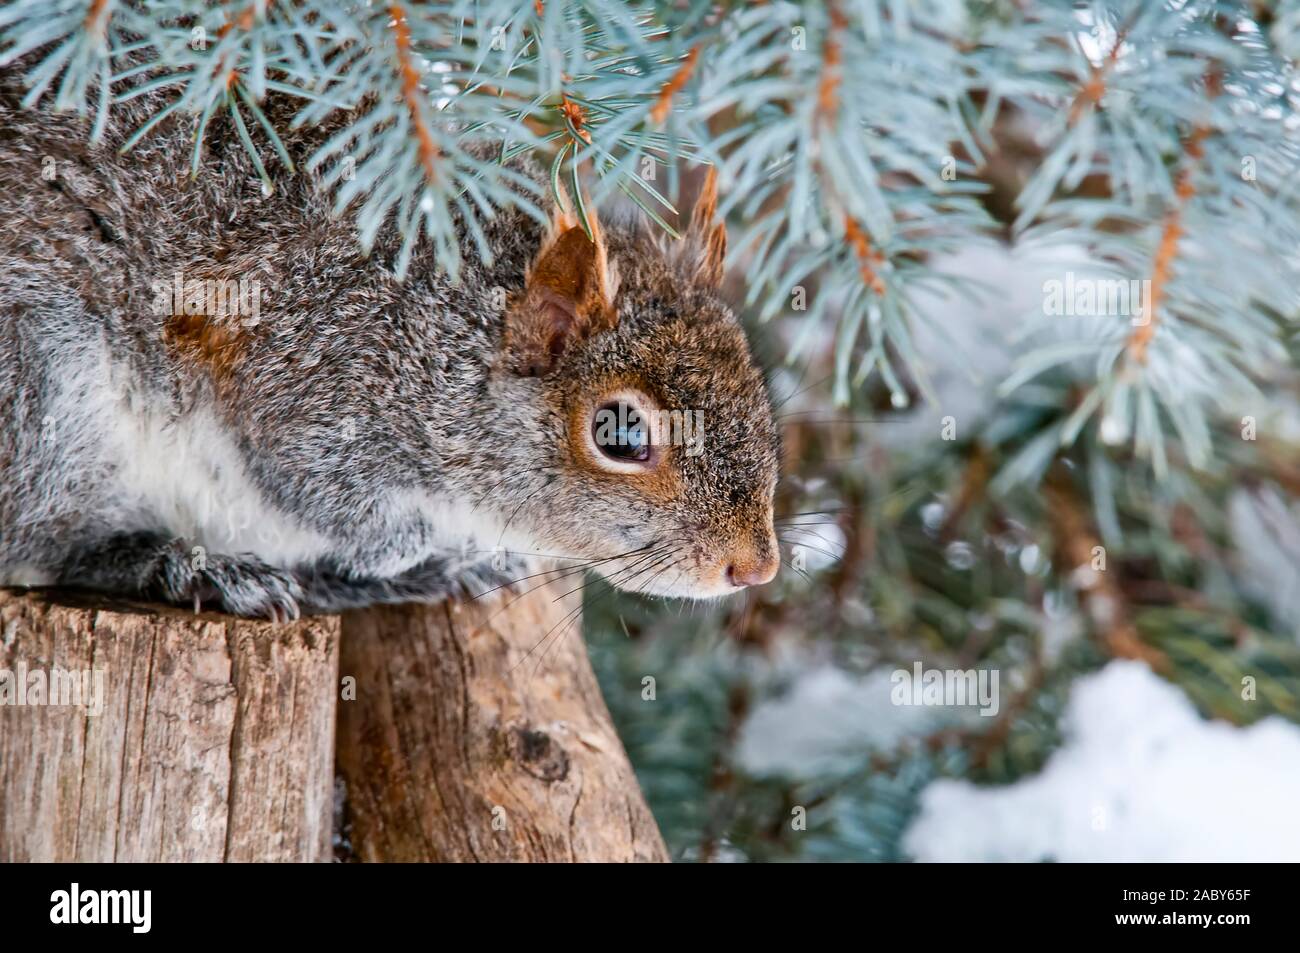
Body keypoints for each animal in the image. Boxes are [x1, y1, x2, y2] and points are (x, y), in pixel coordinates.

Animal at [0, 65, 780, 616]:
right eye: (619, 433)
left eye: (757, 394)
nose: (755, 567)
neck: (443, 334)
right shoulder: (312, 384)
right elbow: (327, 497)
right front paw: (413, 552)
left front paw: (464, 558)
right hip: (49, 398)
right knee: (47, 543)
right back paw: (194, 567)